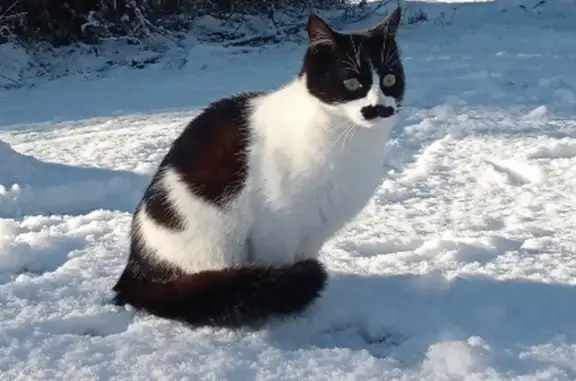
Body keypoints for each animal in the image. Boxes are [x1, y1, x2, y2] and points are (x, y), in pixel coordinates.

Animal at [112, 5, 404, 326]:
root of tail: (133, 273)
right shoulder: (275, 228)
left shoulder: (314, 230)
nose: (381, 108)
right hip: (216, 245)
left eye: (390, 80)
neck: (347, 138)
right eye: (352, 83)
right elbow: (282, 269)